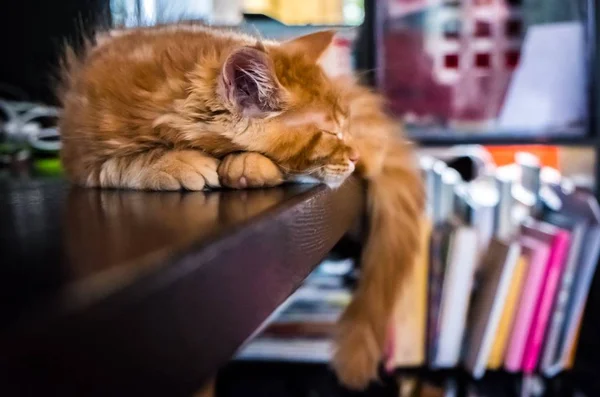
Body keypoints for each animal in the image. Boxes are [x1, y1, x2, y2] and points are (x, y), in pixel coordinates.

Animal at [58, 25, 424, 390]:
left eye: (344, 127)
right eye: (331, 132)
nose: (353, 156)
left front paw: (248, 164)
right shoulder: (81, 155)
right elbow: (116, 165)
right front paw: (172, 162)